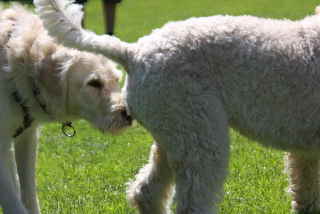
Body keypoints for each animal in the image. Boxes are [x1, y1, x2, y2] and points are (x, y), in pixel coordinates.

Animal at [0, 3, 132, 214]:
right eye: (94, 83)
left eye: (116, 80)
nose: (128, 114)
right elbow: (14, 202)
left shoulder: (27, 139)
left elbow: (28, 194)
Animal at [35, 0, 320, 214]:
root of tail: (134, 52)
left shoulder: (306, 152)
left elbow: (305, 192)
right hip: (200, 139)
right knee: (190, 202)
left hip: (175, 133)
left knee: (145, 191)